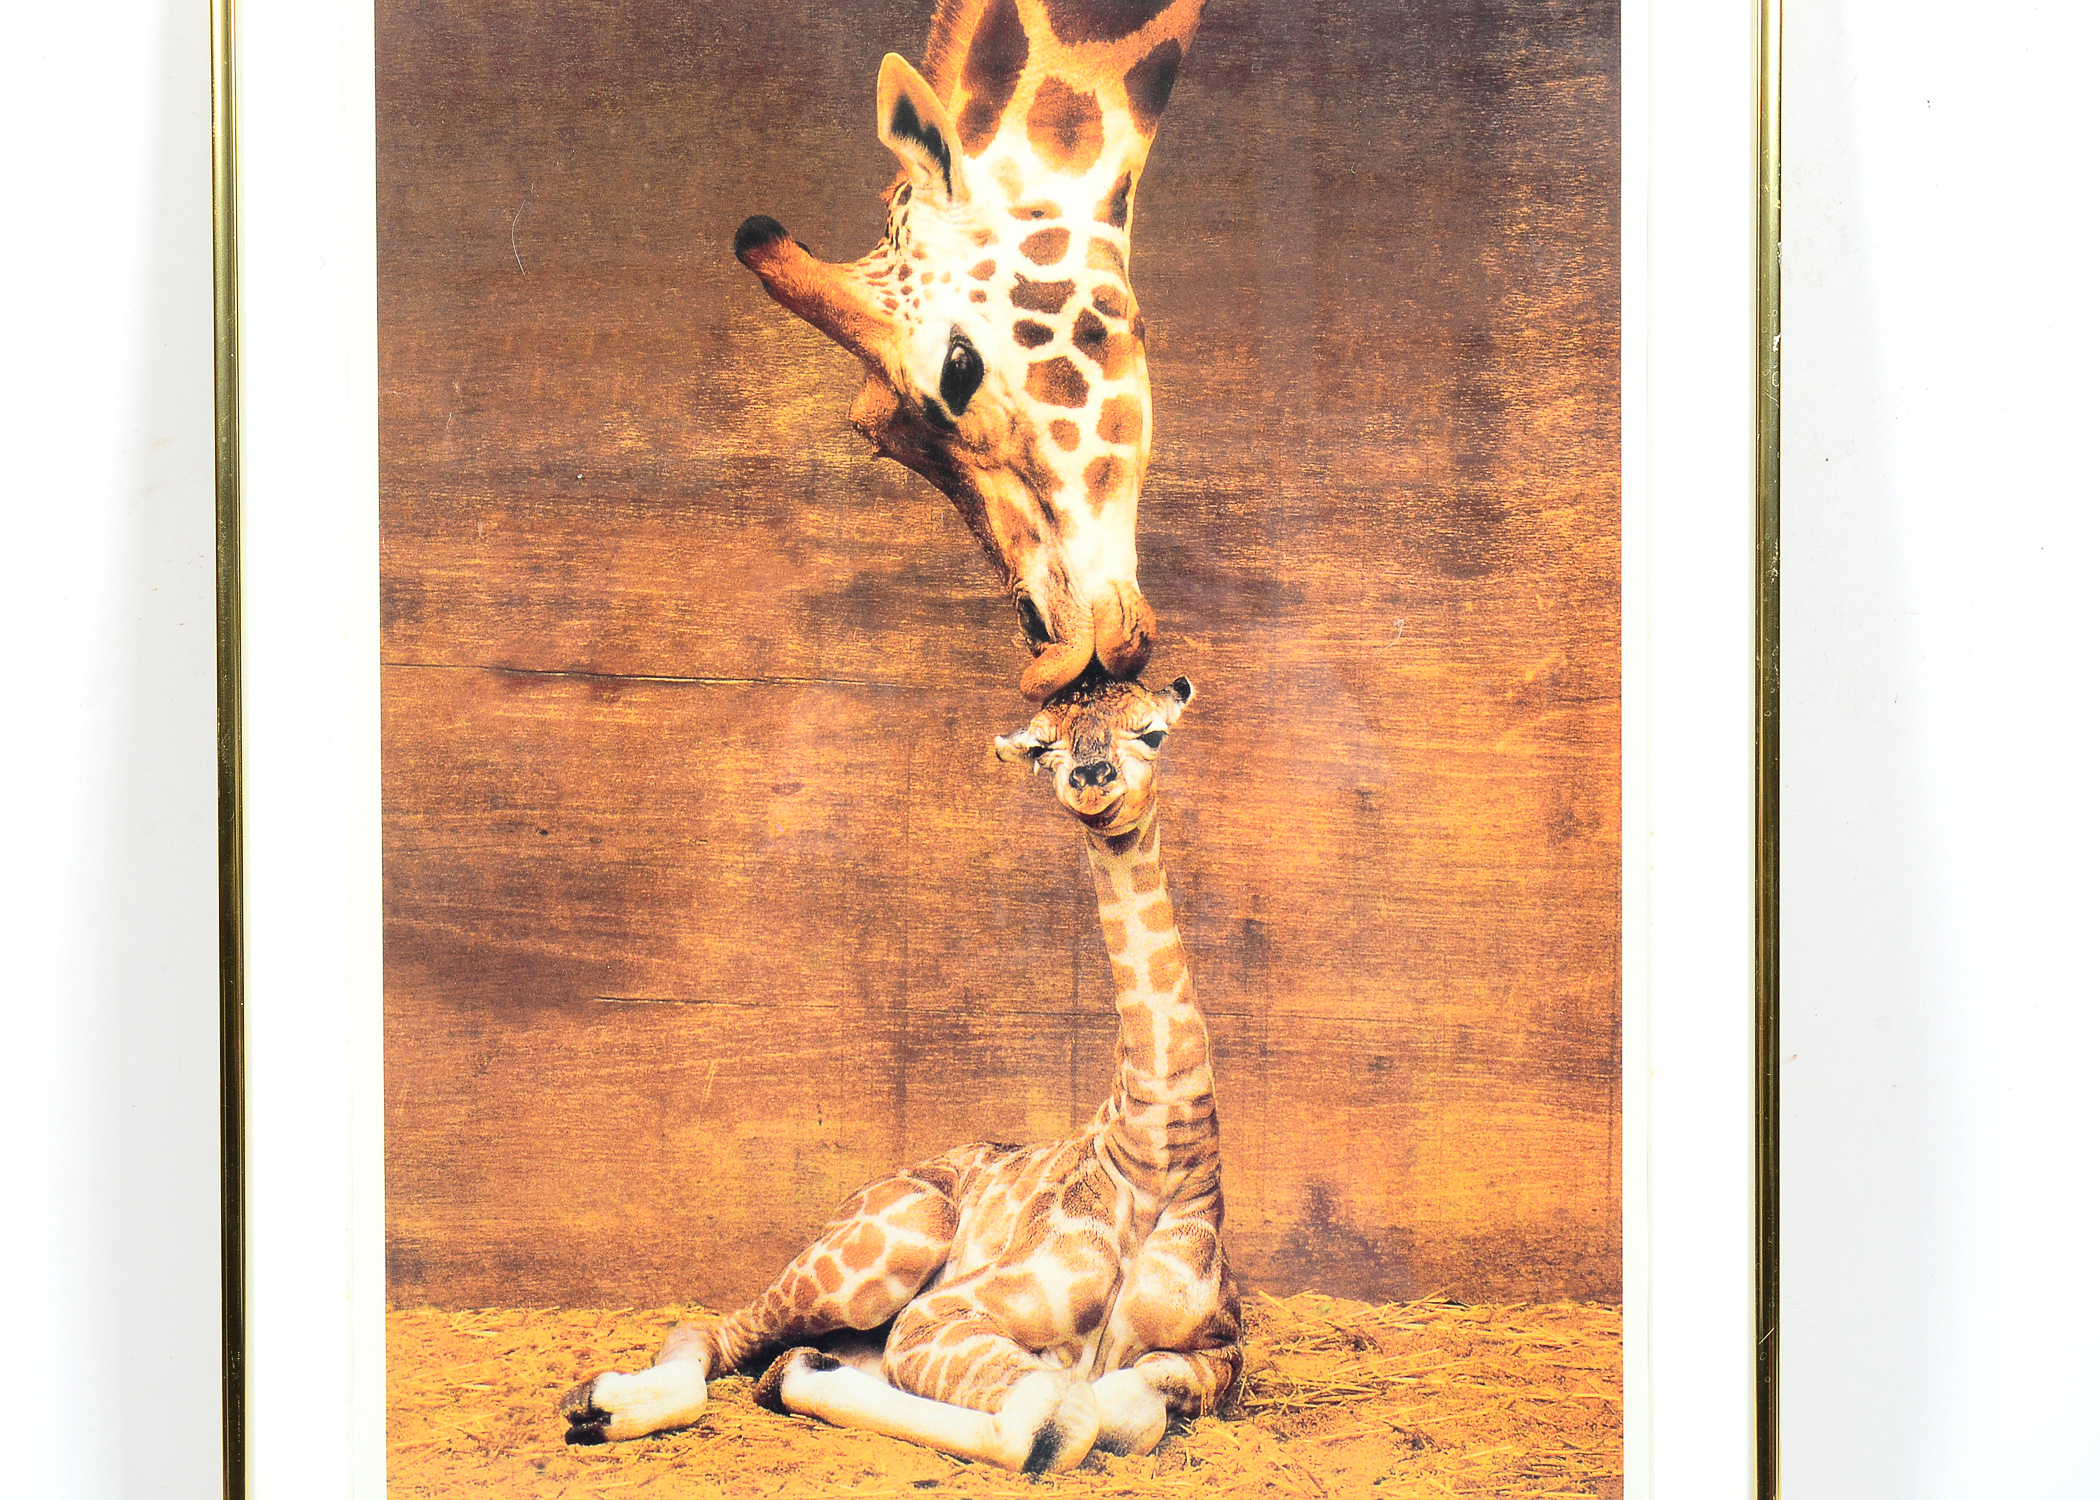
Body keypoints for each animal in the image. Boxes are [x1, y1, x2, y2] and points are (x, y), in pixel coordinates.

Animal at [559, 672, 1241, 1473]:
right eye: (1044, 749)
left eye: (1151, 732)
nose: (1091, 779)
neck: (1159, 1153)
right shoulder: (938, 1314)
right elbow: (1061, 1417)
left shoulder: (1222, 1352)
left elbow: (1127, 1410)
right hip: (881, 1250)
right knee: (716, 1330)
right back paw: (597, 1404)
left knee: (780, 1352)